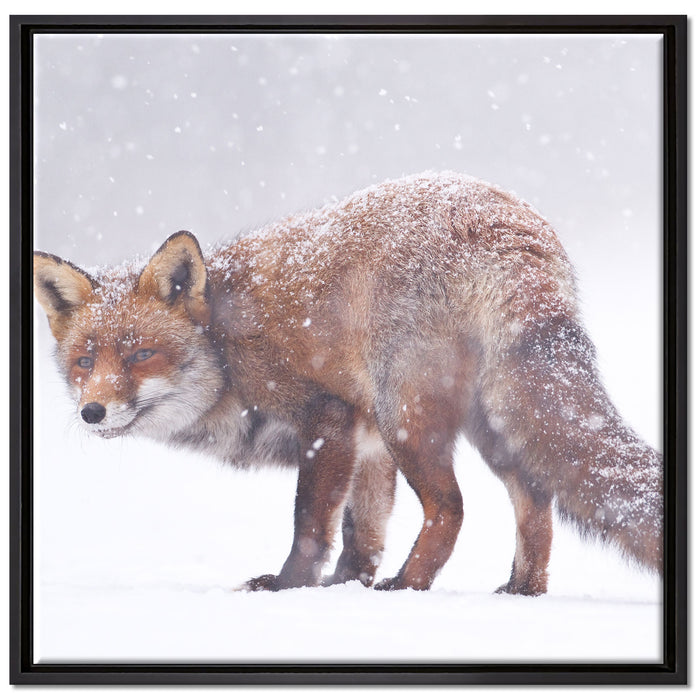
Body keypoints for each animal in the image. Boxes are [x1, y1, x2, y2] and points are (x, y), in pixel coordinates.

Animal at [33, 171, 662, 595]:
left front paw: (289, 587)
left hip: (408, 415)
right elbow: (364, 532)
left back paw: (408, 587)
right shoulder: (368, 443)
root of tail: (507, 223)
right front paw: (343, 587)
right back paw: (520, 591)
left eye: (141, 355)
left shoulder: (328, 418)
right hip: (492, 423)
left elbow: (311, 523)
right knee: (536, 501)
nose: (93, 411)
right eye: (84, 362)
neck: (226, 347)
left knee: (451, 508)